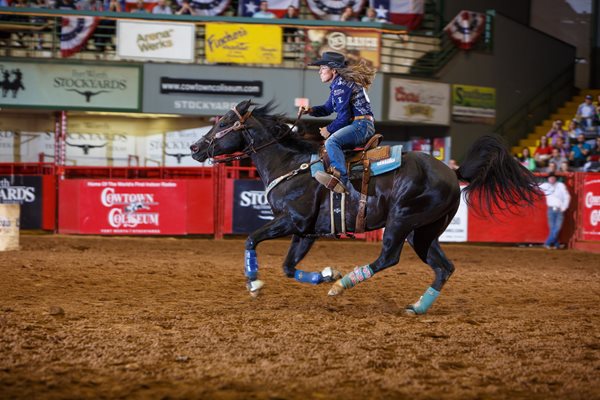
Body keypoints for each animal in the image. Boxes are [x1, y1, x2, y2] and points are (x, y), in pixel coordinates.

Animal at [191, 101, 540, 316]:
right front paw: (327, 274)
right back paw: (416, 307)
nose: (195, 147)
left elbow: (252, 239)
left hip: (401, 221)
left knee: (389, 258)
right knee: (444, 267)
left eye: (224, 122)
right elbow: (289, 267)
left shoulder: (291, 221)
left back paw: (343, 287)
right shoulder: (305, 231)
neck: (292, 165)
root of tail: (452, 173)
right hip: (423, 233)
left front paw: (254, 283)